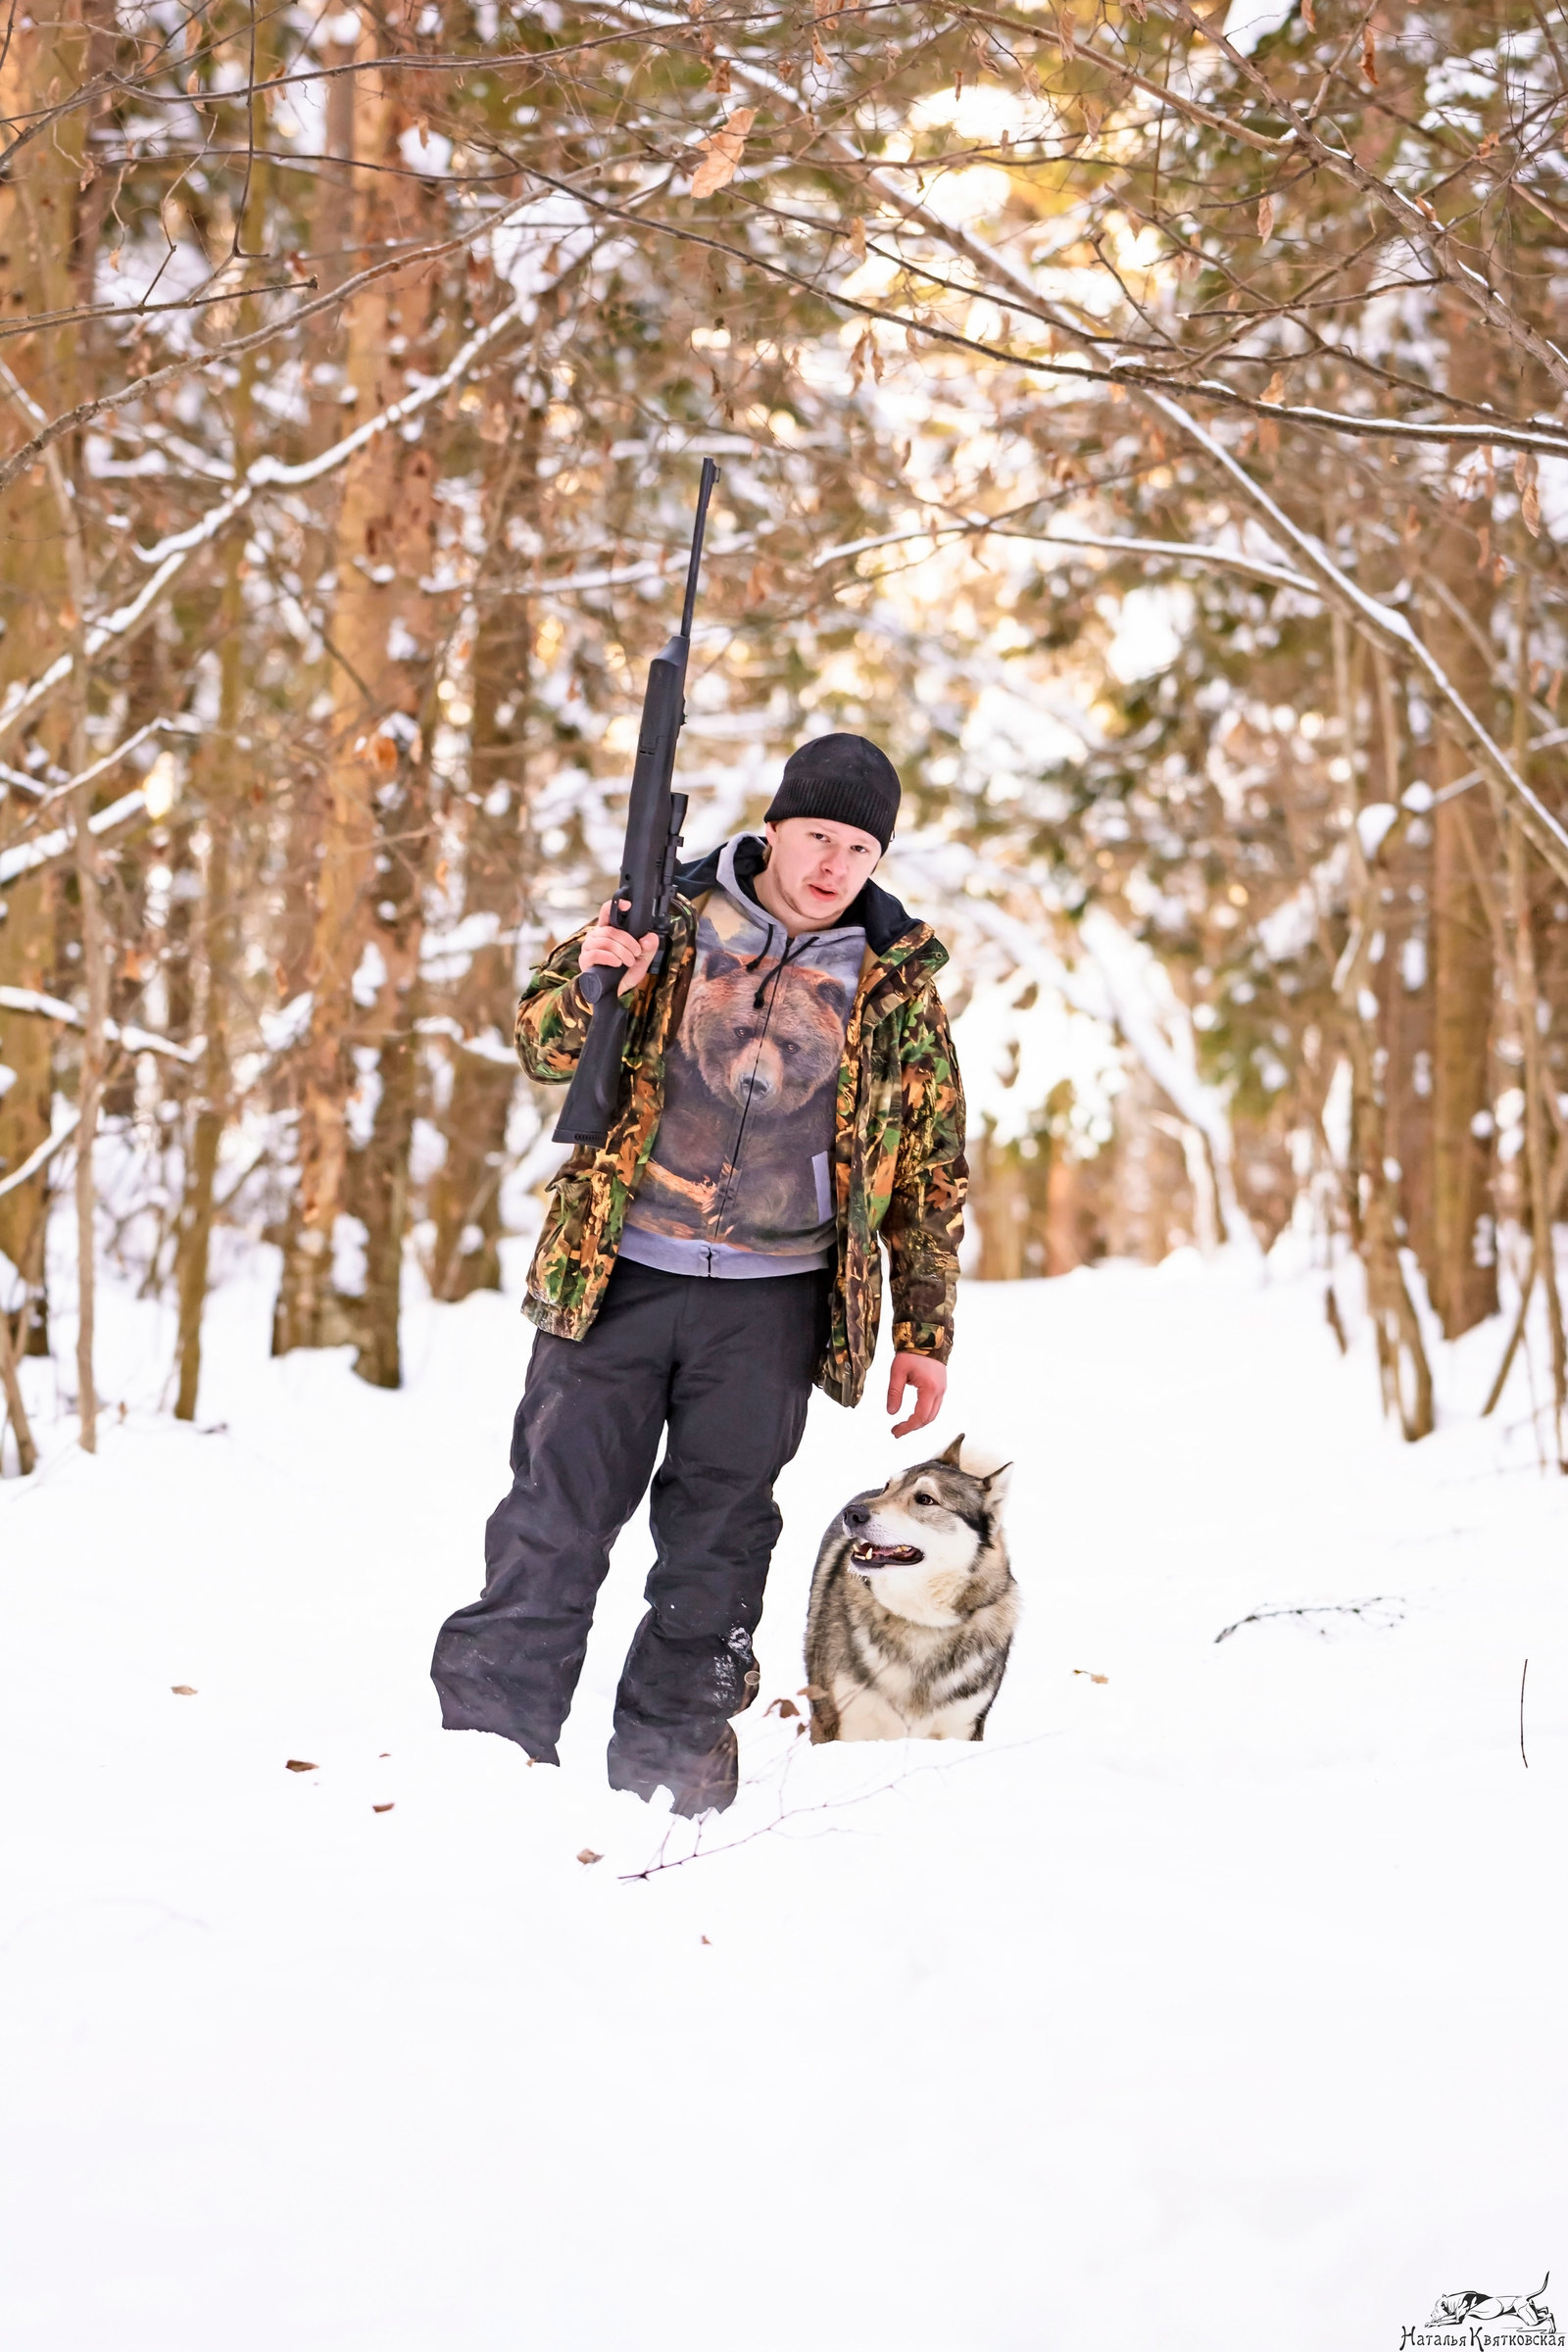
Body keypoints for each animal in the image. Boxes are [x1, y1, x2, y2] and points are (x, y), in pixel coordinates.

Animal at [808, 1430, 1020, 1749]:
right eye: (888, 1487)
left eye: (925, 1499)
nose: (852, 1514)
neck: (923, 1621)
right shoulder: (848, 1726)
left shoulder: (960, 1729)